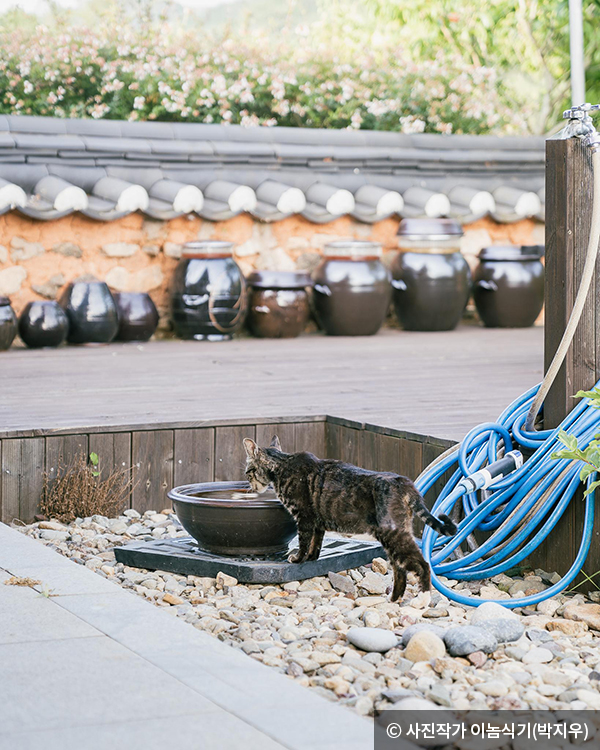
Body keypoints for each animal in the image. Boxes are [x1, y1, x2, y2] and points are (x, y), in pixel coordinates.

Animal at [243, 438, 454, 604]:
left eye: (248, 472)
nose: (250, 487)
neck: (283, 464)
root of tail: (405, 482)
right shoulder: (317, 521)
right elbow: (316, 543)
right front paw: (311, 558)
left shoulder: (304, 517)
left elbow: (304, 541)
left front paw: (298, 559)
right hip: (393, 537)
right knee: (400, 569)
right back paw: (394, 599)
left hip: (393, 533)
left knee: (422, 564)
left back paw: (423, 599)